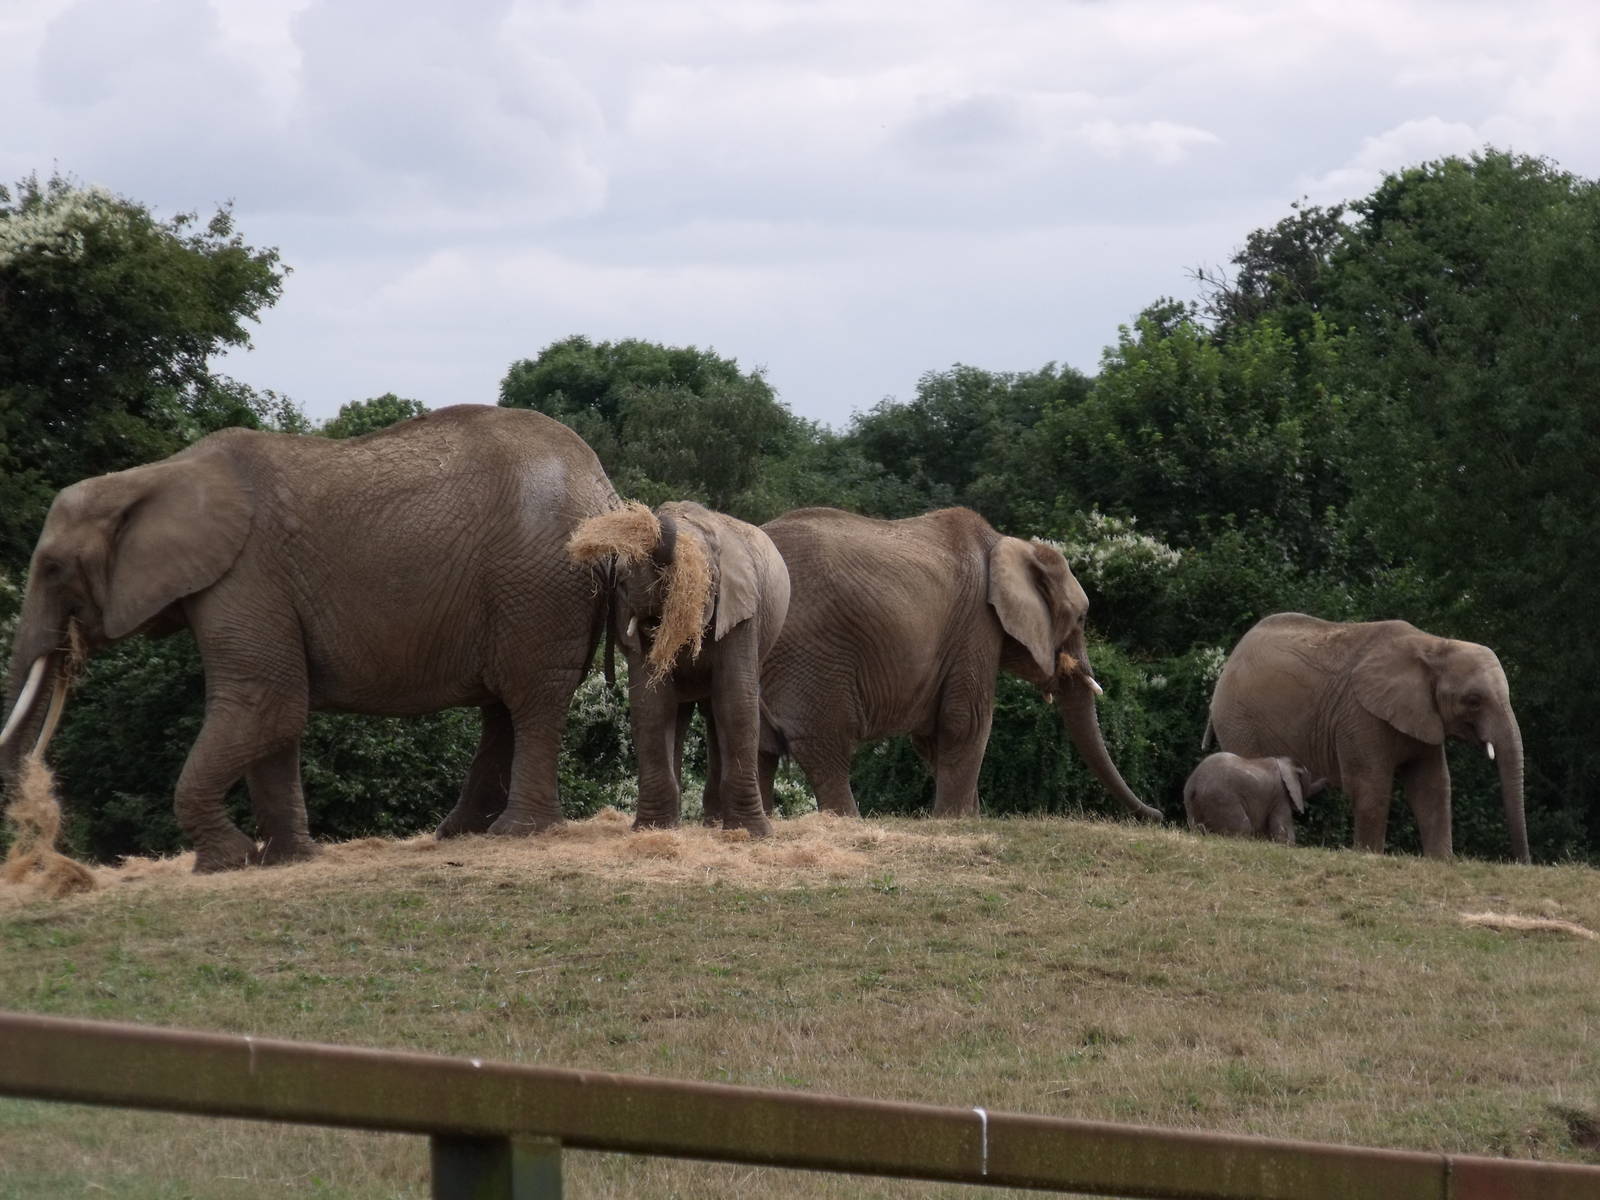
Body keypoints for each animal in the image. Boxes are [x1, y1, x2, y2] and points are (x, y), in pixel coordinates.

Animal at [0, 405, 618, 872]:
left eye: (52, 568)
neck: (155, 475)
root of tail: (602, 485)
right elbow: (276, 717)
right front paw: (285, 860)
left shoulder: (246, 577)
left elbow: (263, 703)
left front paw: (226, 862)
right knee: (502, 707)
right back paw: (460, 835)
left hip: (539, 588)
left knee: (530, 698)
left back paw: (516, 834)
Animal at [568, 501, 789, 837]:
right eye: (621, 584)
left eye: (707, 578)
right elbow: (652, 704)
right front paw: (654, 828)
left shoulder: (741, 613)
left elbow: (736, 700)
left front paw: (751, 834)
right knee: (681, 713)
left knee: (715, 711)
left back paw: (715, 822)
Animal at [735, 506, 1160, 822]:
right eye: (1082, 618)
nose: (1157, 814)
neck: (1009, 543)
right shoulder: (976, 625)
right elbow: (964, 722)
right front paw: (955, 822)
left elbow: (933, 736)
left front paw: (969, 818)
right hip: (811, 653)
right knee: (825, 744)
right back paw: (846, 822)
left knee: (757, 746)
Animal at [1183, 752, 1326, 845]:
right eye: (1306, 782)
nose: (1327, 781)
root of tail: (1193, 784)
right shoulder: (1280, 795)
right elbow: (1282, 826)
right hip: (1221, 797)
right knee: (1243, 826)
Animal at [1205, 613, 1528, 862]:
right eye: (1473, 700)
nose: (1521, 863)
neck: (1434, 645)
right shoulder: (1360, 714)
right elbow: (1371, 784)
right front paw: (1369, 855)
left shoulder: (1422, 715)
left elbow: (1432, 785)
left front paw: (1441, 861)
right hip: (1239, 719)